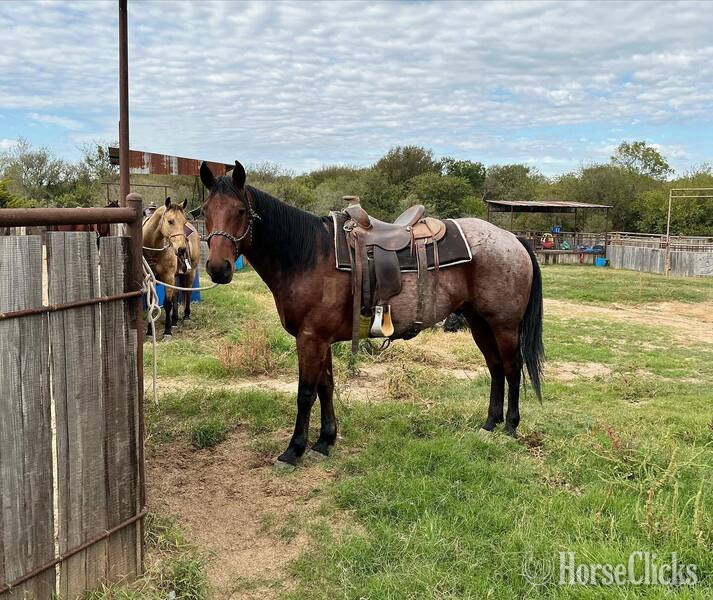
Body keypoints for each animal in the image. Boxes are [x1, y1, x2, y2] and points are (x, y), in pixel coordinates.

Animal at [142, 197, 195, 339]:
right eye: (170, 221)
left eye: (184, 222)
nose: (182, 249)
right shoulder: (150, 279)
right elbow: (151, 303)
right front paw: (149, 332)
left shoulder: (168, 277)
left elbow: (167, 303)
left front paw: (167, 331)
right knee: (176, 296)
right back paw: (174, 321)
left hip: (190, 273)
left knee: (188, 291)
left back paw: (186, 316)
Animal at [200, 160, 544, 468]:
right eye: (204, 211)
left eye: (240, 211)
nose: (218, 268)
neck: (309, 255)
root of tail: (513, 239)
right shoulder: (320, 340)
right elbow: (326, 387)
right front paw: (324, 441)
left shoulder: (310, 339)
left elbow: (305, 393)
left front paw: (293, 450)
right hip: (479, 323)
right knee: (495, 368)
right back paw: (490, 424)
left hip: (504, 325)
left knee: (512, 369)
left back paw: (510, 427)